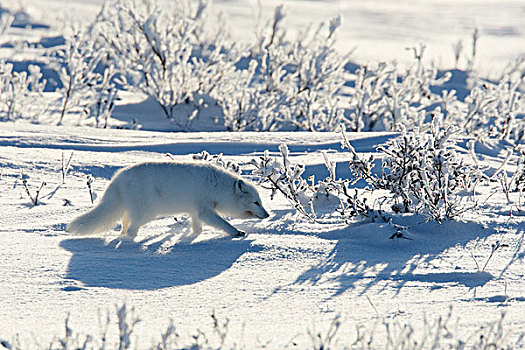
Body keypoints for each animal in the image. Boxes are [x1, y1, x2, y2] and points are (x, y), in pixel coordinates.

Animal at [66, 161, 270, 238]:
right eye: (256, 202)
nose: (267, 215)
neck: (217, 186)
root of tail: (117, 179)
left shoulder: (196, 212)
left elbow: (197, 228)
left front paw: (194, 237)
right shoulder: (205, 211)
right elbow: (223, 223)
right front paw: (236, 232)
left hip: (131, 211)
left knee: (125, 224)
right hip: (147, 213)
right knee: (131, 229)